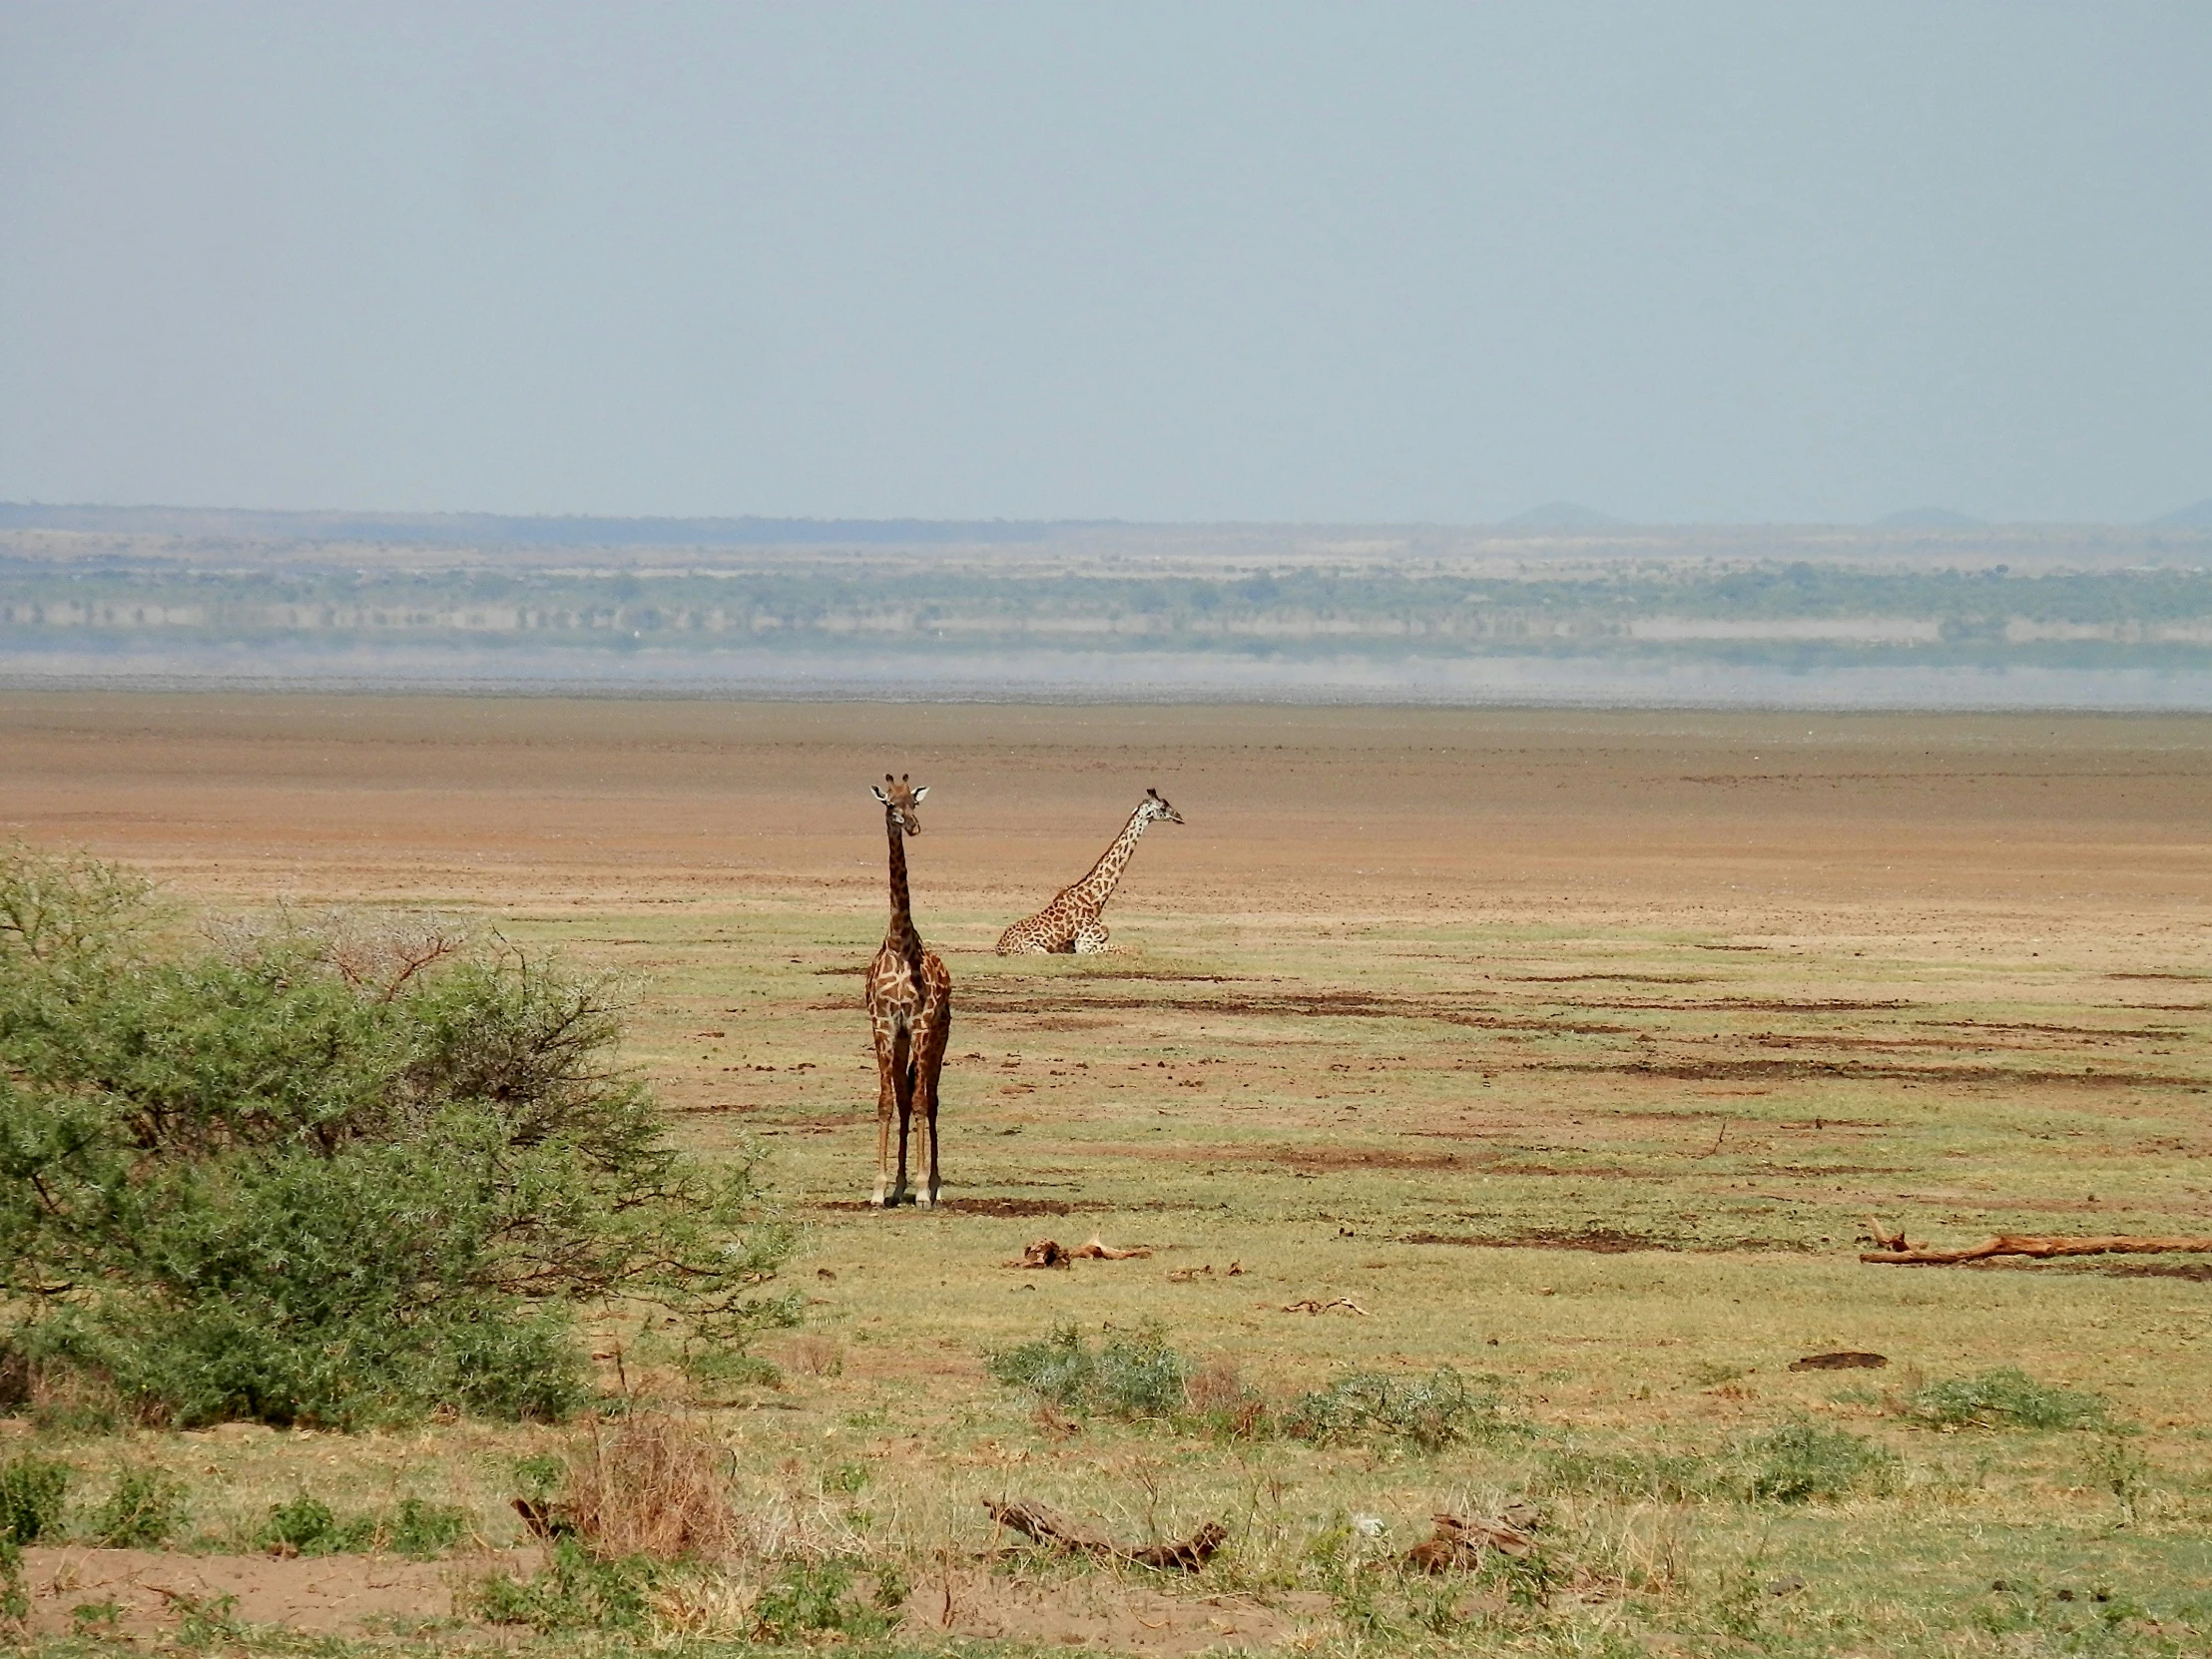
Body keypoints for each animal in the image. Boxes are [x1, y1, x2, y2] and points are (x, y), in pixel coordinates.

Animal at [995, 787, 1185, 955]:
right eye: (1162, 807)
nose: (1180, 817)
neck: (1095, 899)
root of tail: (999, 946)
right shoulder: (1085, 944)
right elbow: (1135, 949)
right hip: (1037, 950)